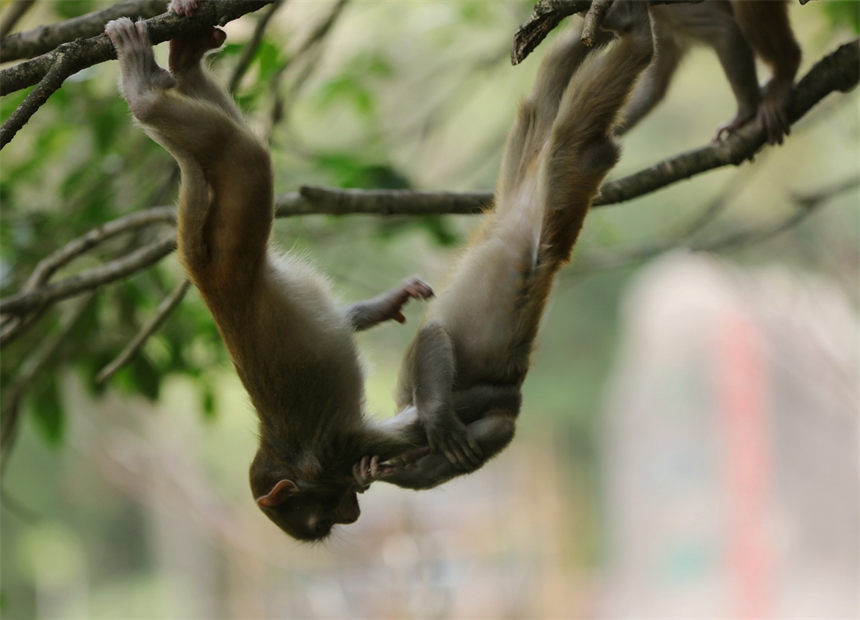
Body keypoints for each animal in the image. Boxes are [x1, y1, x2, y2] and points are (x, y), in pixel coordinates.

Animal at [352, 3, 656, 490]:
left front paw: (427, 432)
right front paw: (401, 467)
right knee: (559, 117)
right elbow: (485, 400)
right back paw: (612, 32)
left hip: (541, 174)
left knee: (565, 128)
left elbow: (433, 337)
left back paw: (628, 33)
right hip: (535, 171)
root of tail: (517, 208)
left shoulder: (424, 390)